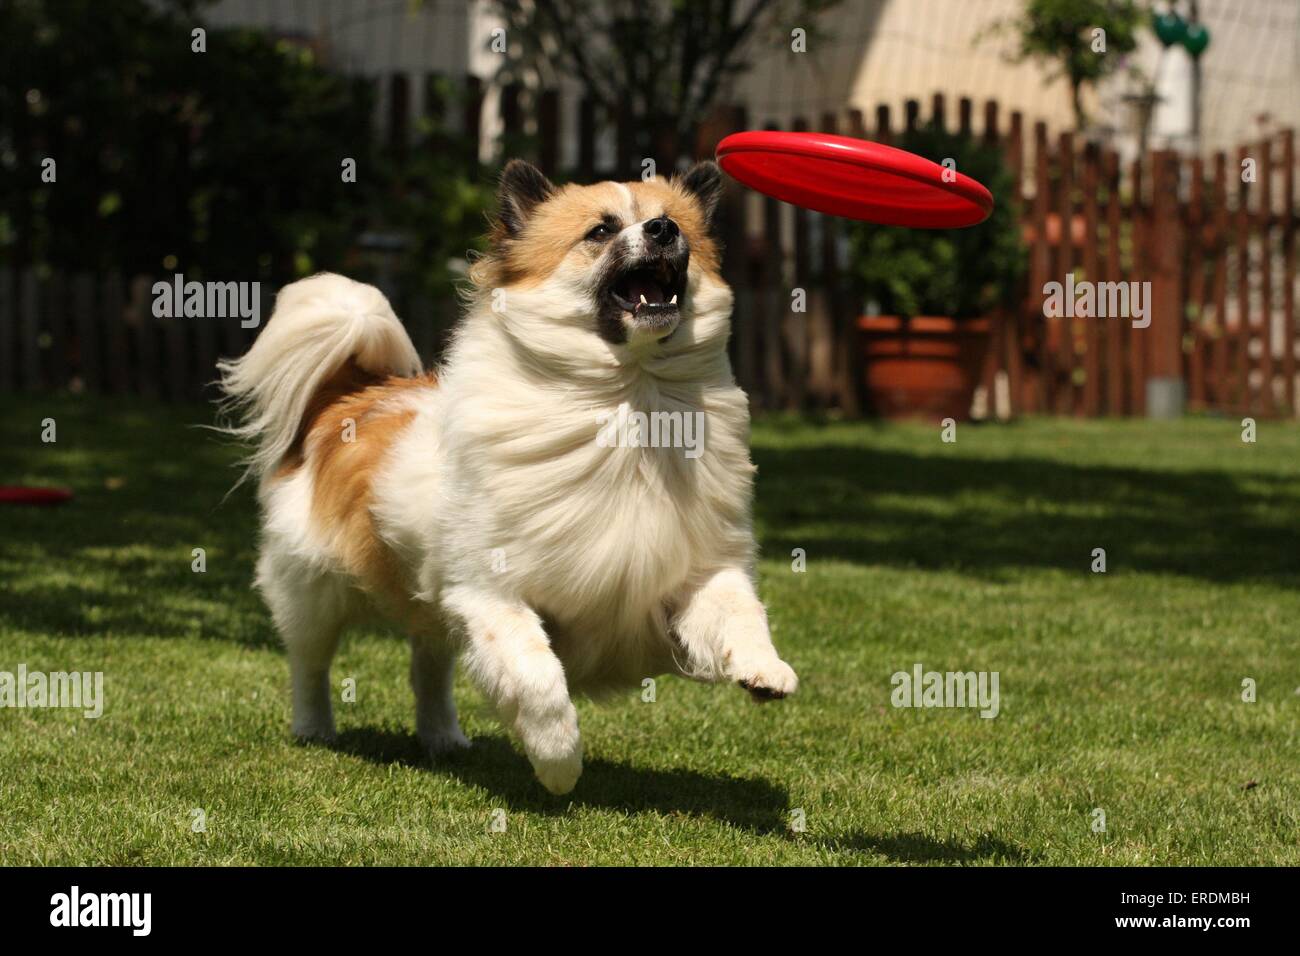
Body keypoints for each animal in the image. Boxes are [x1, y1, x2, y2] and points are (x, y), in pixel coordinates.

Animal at [218, 162, 795, 790]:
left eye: (675, 223)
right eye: (601, 231)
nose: (663, 230)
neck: (628, 402)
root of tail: (347, 396)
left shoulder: (698, 569)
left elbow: (740, 609)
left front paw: (765, 668)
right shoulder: (489, 594)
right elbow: (537, 676)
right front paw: (559, 762)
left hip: (428, 604)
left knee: (428, 670)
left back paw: (442, 737)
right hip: (313, 588)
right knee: (311, 662)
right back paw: (315, 728)